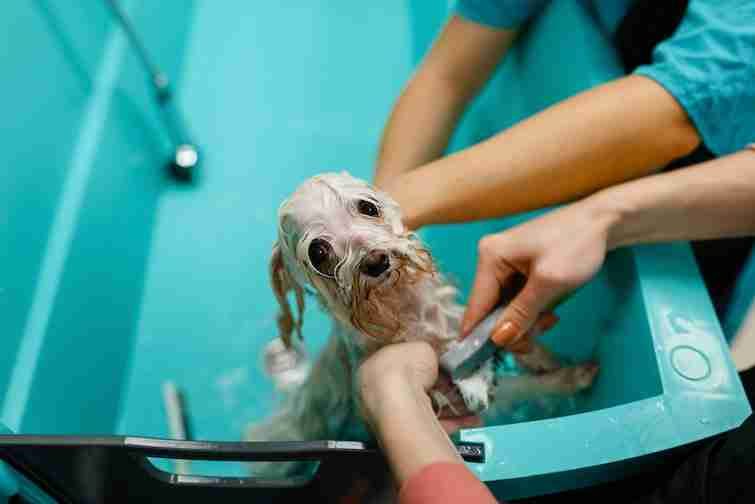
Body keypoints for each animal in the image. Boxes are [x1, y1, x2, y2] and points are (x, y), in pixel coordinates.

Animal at [245, 172, 600, 476]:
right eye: (318, 252)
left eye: (367, 207)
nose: (375, 261)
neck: (406, 311)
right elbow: (522, 386)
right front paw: (572, 377)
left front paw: (546, 359)